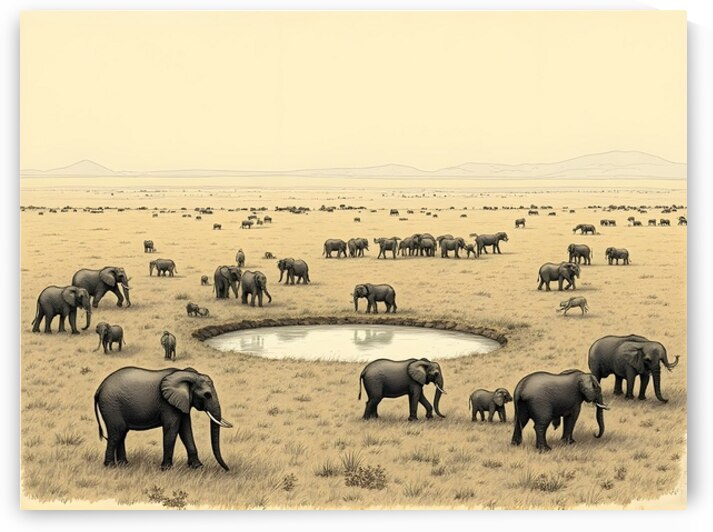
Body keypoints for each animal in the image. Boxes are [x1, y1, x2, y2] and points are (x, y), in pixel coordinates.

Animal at [93, 366, 232, 470]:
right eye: (207, 395)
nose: (227, 469)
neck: (186, 374)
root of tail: (99, 388)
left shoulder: (181, 403)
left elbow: (186, 430)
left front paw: (197, 467)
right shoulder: (168, 404)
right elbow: (172, 429)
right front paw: (167, 469)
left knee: (122, 433)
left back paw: (124, 465)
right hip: (111, 405)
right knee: (117, 432)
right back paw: (111, 466)